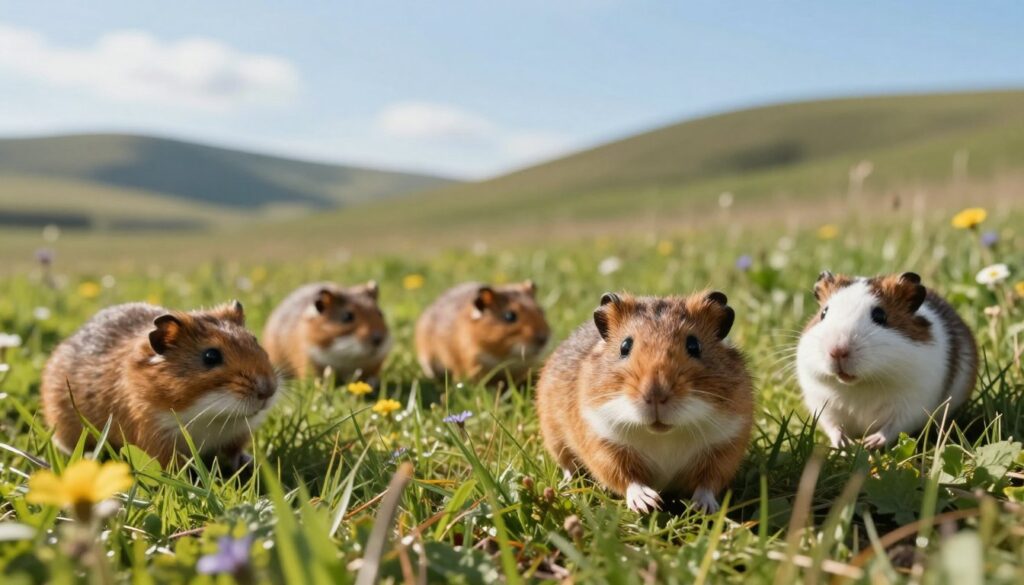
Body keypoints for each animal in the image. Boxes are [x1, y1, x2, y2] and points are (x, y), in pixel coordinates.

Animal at [40, 301, 279, 469]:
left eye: (254, 340)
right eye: (211, 356)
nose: (268, 391)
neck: (207, 415)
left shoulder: (236, 435)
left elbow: (234, 453)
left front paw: (248, 463)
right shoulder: (156, 437)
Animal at [536, 291, 753, 514]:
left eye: (694, 345)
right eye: (625, 346)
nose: (655, 395)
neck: (663, 436)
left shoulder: (726, 446)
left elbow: (708, 483)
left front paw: (703, 509)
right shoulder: (602, 443)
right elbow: (627, 479)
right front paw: (649, 503)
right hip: (554, 436)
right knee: (567, 465)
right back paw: (568, 486)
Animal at [797, 271, 978, 449]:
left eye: (880, 315)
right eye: (823, 313)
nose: (837, 351)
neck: (861, 385)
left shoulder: (912, 405)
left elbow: (892, 428)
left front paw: (868, 443)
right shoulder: (822, 403)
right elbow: (833, 427)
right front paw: (846, 446)